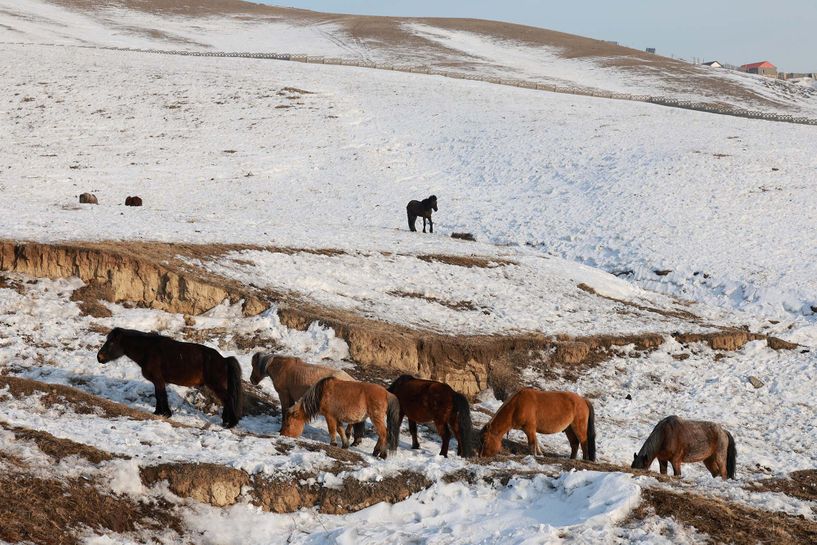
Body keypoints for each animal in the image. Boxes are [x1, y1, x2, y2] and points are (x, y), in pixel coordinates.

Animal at [96, 326, 242, 428]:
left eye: (111, 343)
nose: (99, 357)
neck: (148, 351)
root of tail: (224, 360)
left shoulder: (158, 380)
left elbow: (161, 395)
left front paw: (165, 413)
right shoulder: (157, 381)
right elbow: (159, 395)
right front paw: (159, 412)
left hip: (216, 385)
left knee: (228, 400)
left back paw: (230, 423)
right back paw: (225, 422)